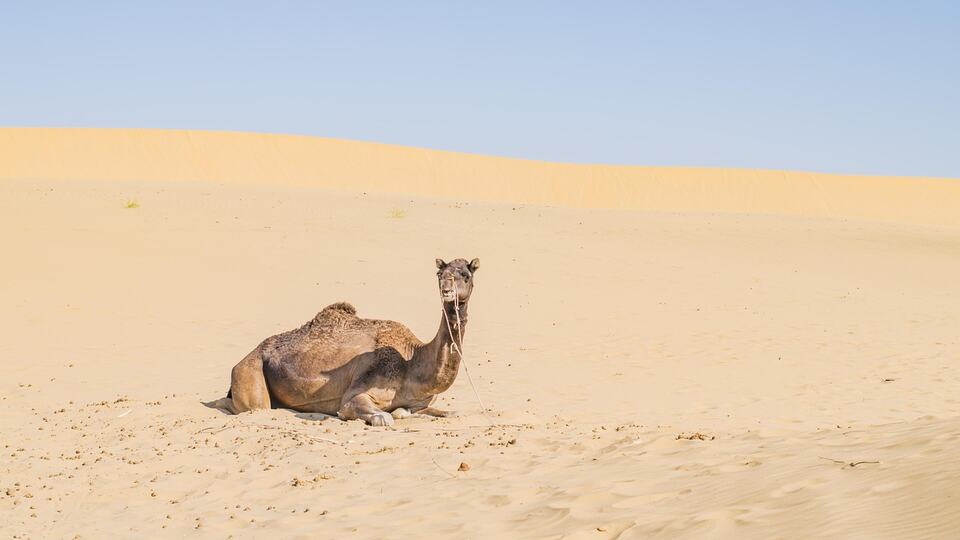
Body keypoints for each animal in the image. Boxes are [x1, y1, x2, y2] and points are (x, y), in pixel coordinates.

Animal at [210, 258, 479, 426]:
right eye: (440, 274)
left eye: (465, 275)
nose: (446, 290)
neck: (411, 361)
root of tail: (247, 355)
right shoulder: (355, 394)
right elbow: (383, 416)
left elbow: (448, 411)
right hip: (250, 371)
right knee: (248, 405)